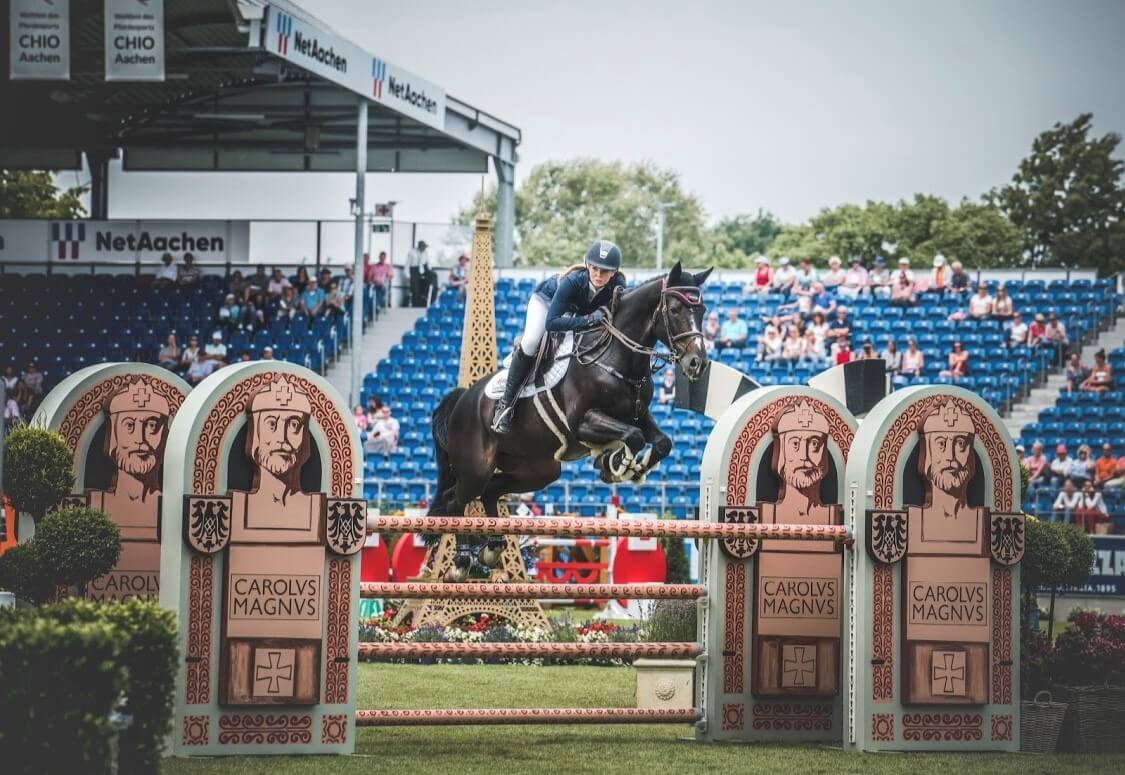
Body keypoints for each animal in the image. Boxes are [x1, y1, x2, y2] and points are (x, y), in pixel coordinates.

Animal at [427, 259, 711, 526]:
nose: (697, 363)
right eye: (674, 310)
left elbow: (662, 442)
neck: (614, 357)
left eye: (703, 310)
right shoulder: (583, 423)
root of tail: (463, 398)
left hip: (536, 470)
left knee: (490, 492)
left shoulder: (637, 414)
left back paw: (492, 543)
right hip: (475, 470)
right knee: (454, 501)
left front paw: (632, 468)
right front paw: (615, 465)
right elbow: (634, 436)